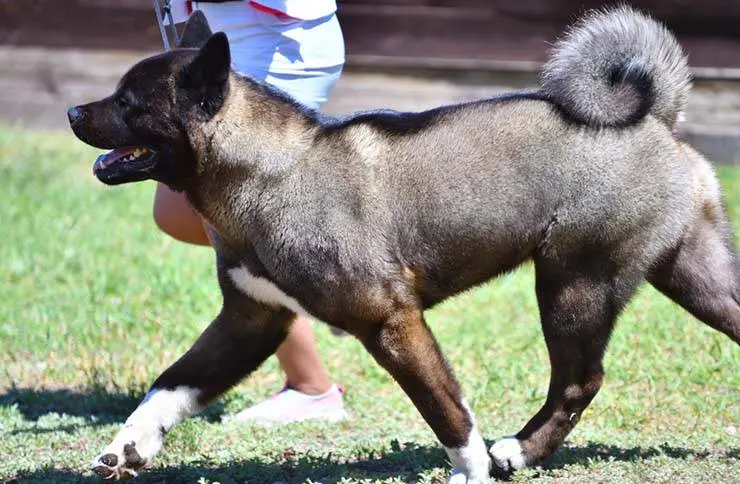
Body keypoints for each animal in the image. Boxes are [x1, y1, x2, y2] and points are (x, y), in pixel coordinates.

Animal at [66, 5, 736, 482]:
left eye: (129, 101)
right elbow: (170, 386)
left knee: (579, 381)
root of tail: (654, 116)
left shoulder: (392, 322)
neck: (273, 172)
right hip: (690, 274)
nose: (74, 111)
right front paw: (128, 445)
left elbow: (447, 412)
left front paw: (474, 472)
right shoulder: (249, 322)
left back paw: (518, 450)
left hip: (574, 284)